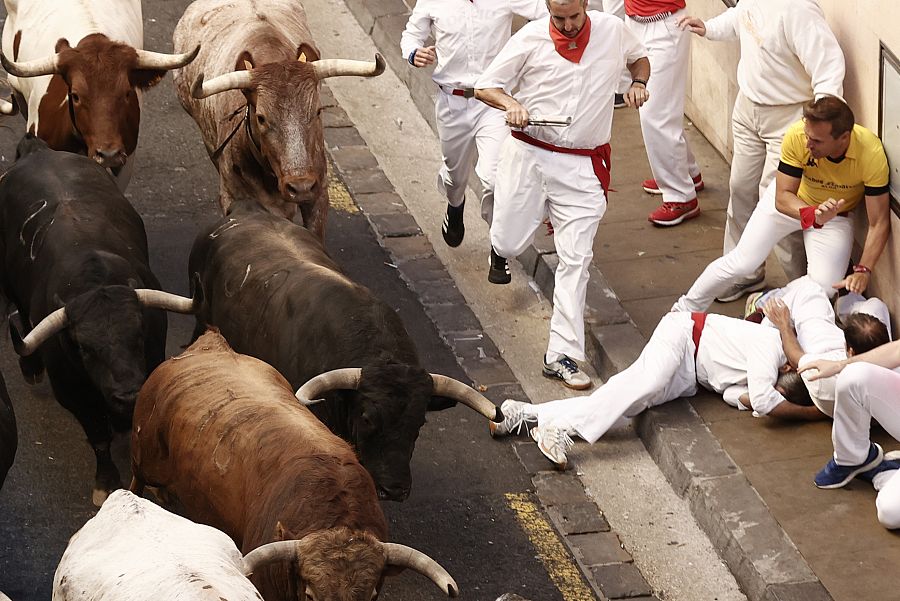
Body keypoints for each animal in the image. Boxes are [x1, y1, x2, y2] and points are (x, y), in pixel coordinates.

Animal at [0, 135, 197, 502]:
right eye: (84, 348)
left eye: (139, 334)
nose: (127, 394)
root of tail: (38, 150)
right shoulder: (73, 395)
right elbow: (98, 437)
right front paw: (105, 482)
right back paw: (32, 368)